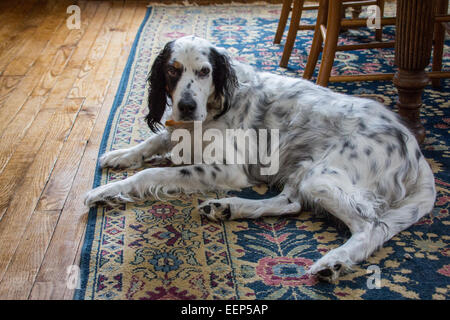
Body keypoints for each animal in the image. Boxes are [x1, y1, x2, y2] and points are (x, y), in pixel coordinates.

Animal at [84, 35, 436, 282]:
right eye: (172, 70)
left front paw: (106, 189)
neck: (216, 105)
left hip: (322, 177)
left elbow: (150, 175)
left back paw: (333, 262)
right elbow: (152, 141)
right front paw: (118, 158)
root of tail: (414, 149)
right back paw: (227, 207)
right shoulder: (179, 133)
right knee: (290, 204)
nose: (186, 105)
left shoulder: (226, 170)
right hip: (304, 170)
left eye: (204, 71)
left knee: (370, 226)